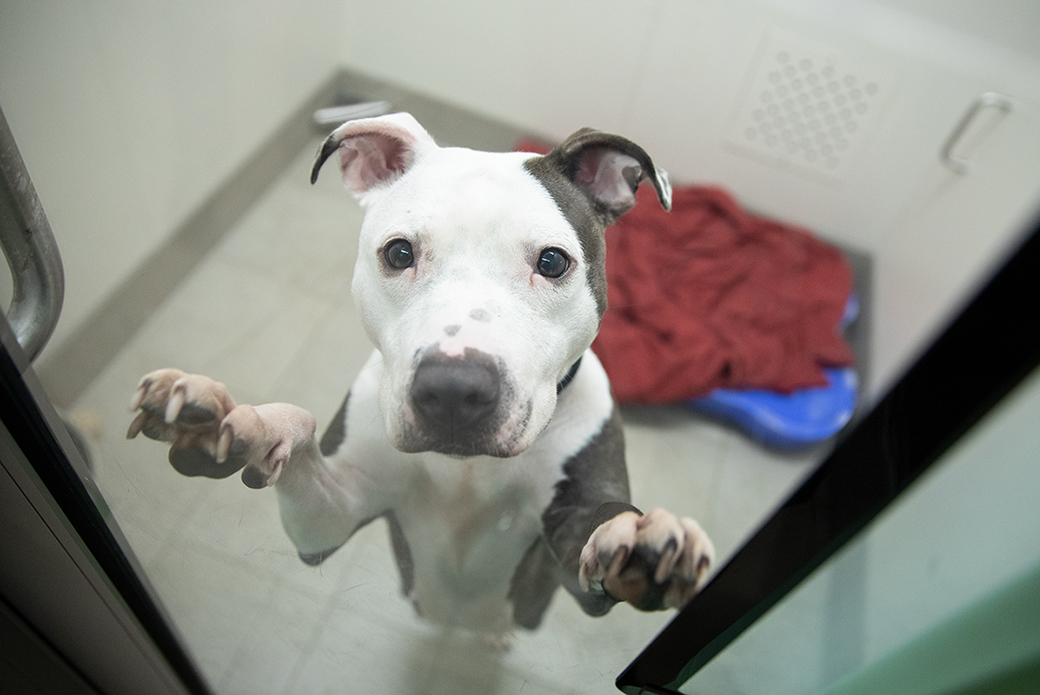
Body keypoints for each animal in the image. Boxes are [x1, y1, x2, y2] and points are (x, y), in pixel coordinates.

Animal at [127, 112, 715, 636]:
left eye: (552, 262)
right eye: (399, 252)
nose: (454, 391)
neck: (468, 470)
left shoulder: (570, 563)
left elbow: (601, 527)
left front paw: (642, 540)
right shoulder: (329, 519)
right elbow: (299, 438)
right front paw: (237, 420)